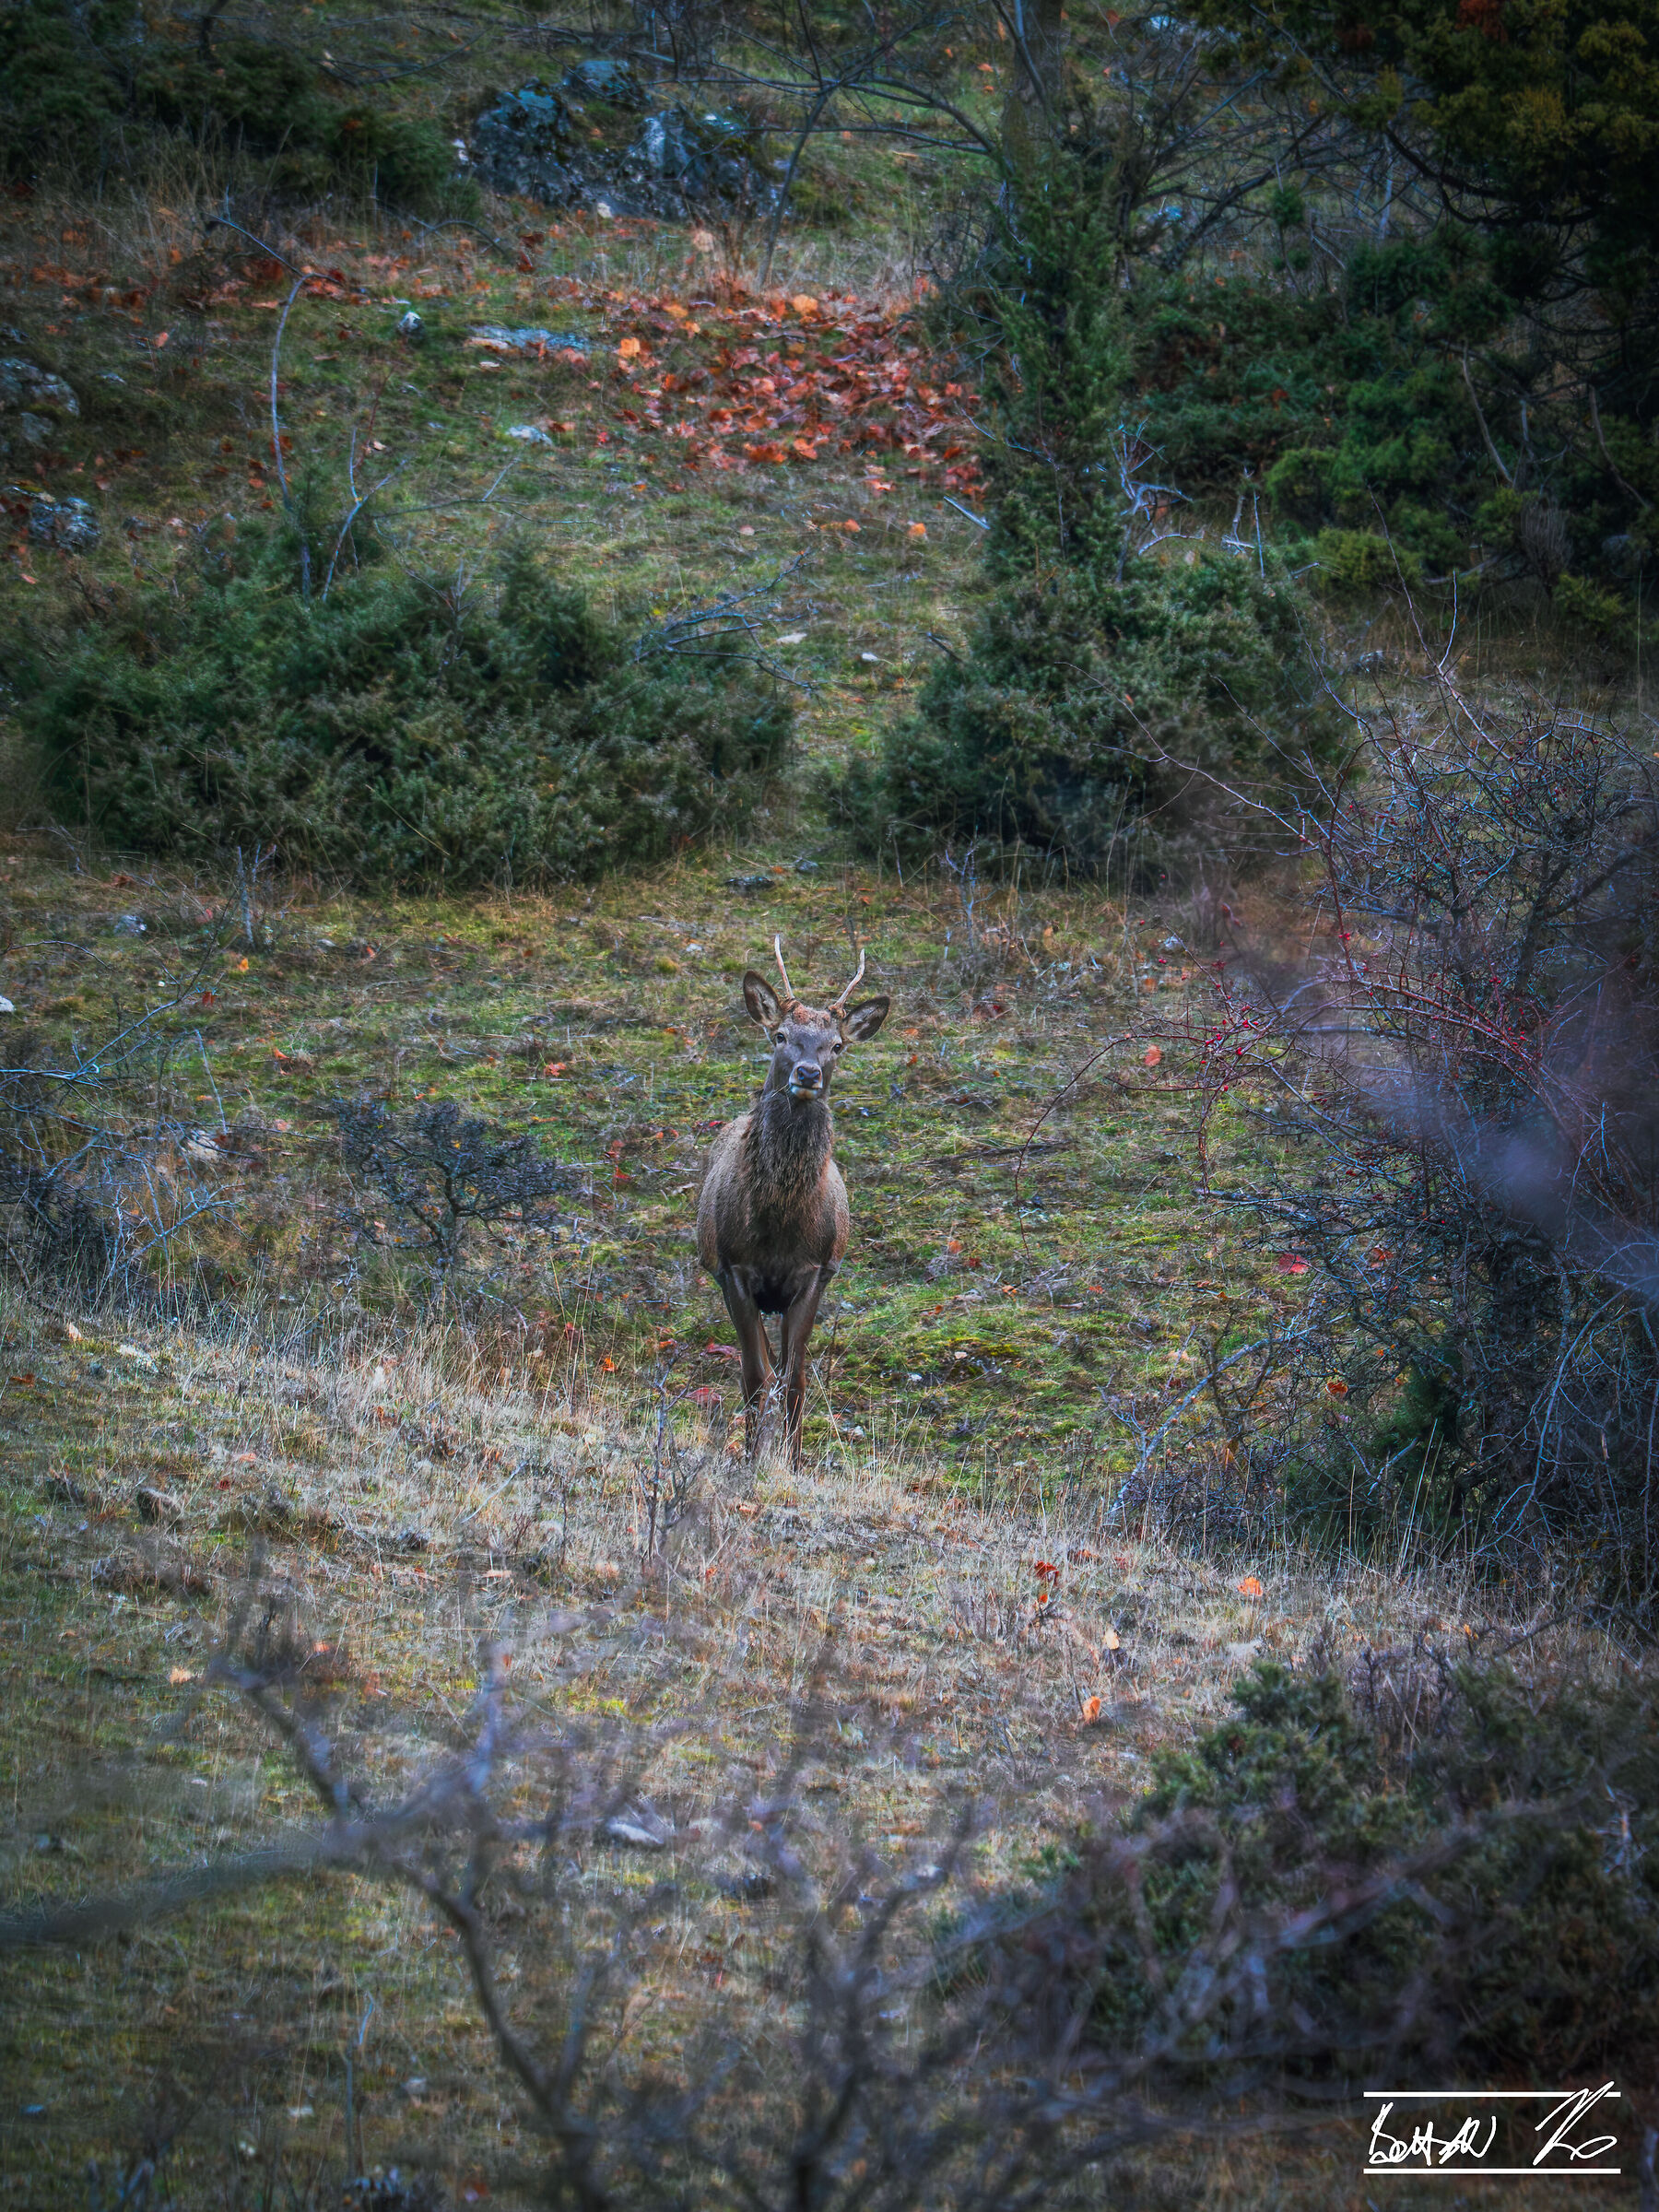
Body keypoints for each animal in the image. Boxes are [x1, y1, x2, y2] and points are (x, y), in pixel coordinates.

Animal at [696, 938, 890, 1466]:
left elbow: (796, 1378)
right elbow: (754, 1377)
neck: (779, 1229)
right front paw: (752, 1459)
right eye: (780, 1035)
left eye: (837, 1045)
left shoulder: (817, 1272)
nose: (808, 1073)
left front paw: (793, 1461)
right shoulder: (733, 1270)